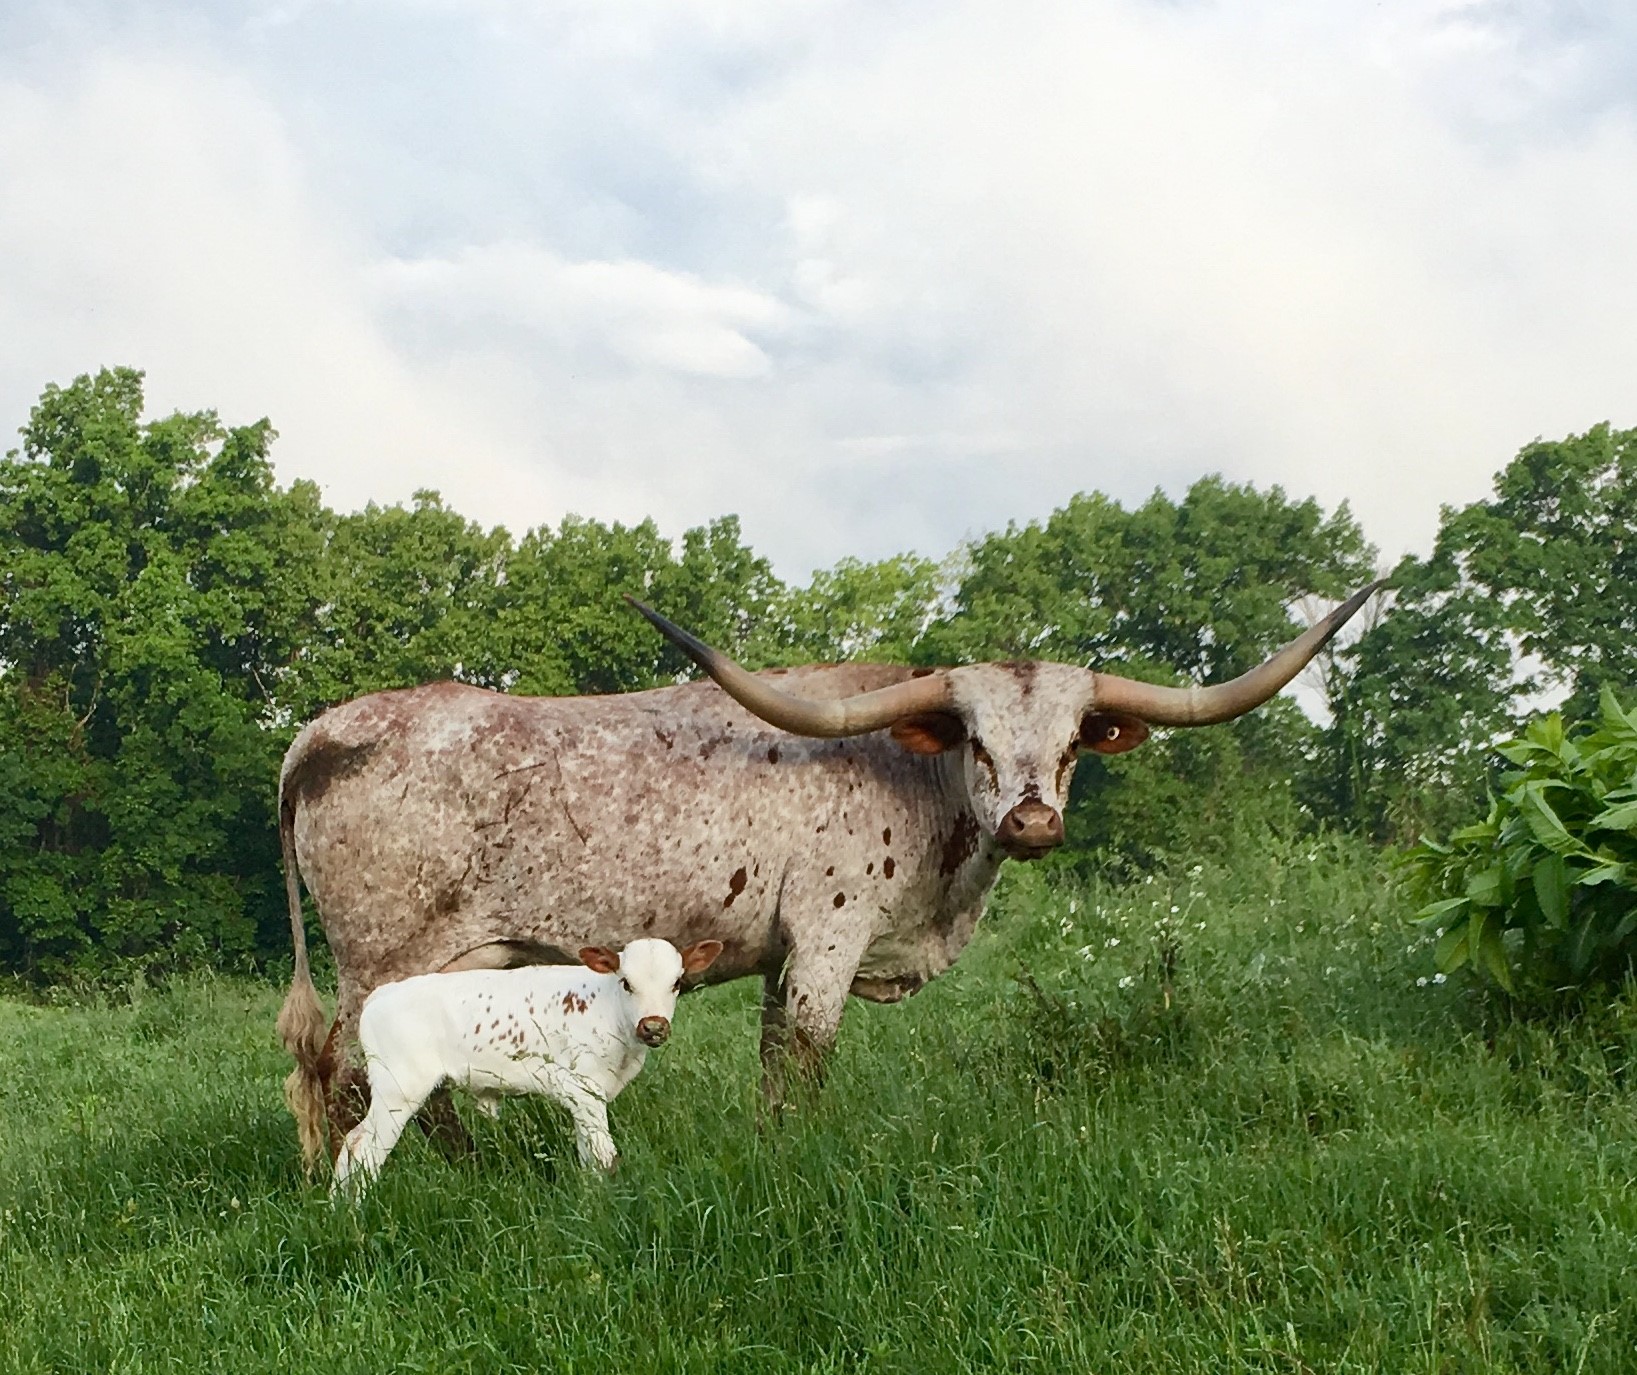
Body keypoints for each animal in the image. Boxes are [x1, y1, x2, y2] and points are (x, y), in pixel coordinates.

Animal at [278, 582, 1382, 1169]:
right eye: (975, 739)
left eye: (1074, 742)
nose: (1031, 819)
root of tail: (324, 731)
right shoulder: (828, 935)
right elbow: (807, 1057)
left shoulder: (779, 951)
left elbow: (774, 1062)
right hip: (380, 957)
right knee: (345, 1072)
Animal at [332, 938, 723, 1196]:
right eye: (626, 982)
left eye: (676, 983)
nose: (653, 1026)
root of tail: (382, 993)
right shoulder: (584, 1088)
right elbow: (605, 1156)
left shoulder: (582, 1100)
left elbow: (589, 1156)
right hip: (399, 1090)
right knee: (364, 1150)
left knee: (351, 1143)